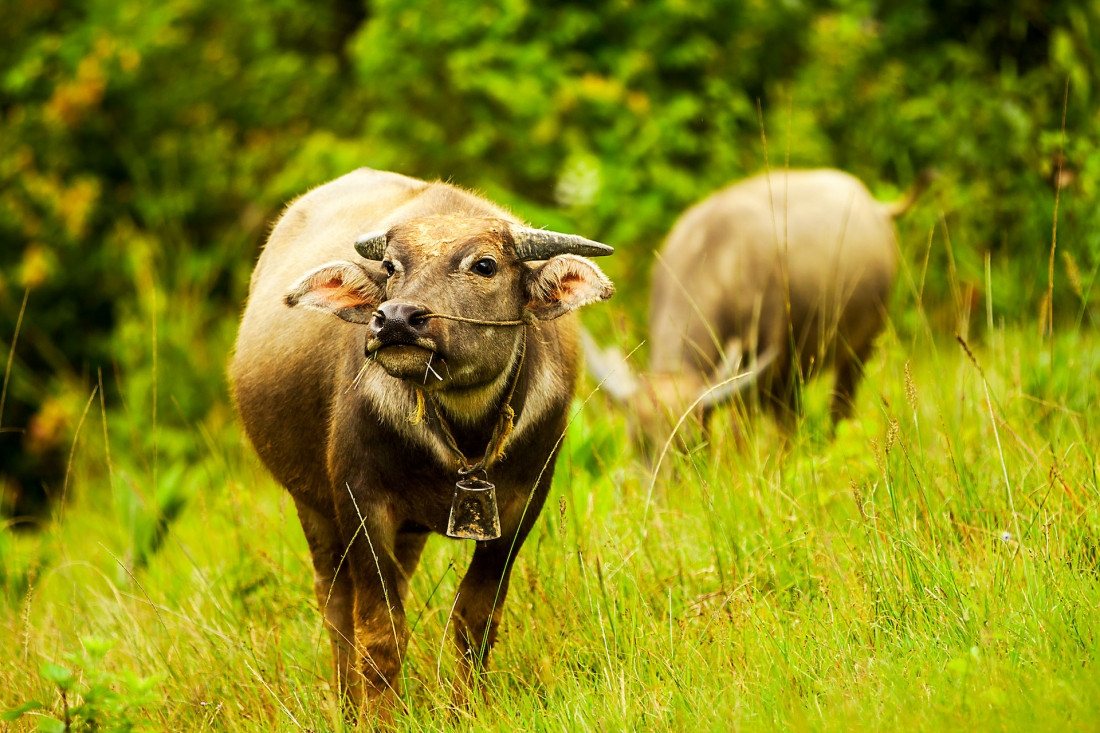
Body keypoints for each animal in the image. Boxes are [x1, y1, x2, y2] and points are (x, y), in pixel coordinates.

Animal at [228, 167, 616, 717]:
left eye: (484, 265)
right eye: (392, 267)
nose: (394, 319)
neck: (465, 432)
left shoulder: (523, 504)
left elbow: (475, 617)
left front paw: (468, 706)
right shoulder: (360, 502)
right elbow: (381, 629)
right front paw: (379, 716)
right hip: (312, 507)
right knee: (336, 606)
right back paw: (346, 702)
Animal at [585, 167, 928, 449]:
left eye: (691, 446)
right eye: (638, 444)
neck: (716, 259)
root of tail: (878, 208)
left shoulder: (771, 370)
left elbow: (750, 431)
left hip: (860, 349)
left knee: (840, 404)